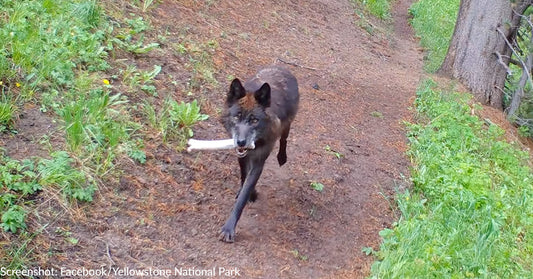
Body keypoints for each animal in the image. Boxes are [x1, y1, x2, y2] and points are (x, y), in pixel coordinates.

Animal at [218, 65, 298, 243]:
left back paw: (282, 157)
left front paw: (229, 228)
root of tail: (281, 67)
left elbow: (244, 195)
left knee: (284, 140)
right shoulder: (242, 156)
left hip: (288, 125)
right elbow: (244, 177)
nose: (241, 142)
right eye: (237, 117)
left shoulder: (259, 161)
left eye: (254, 120)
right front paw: (249, 193)